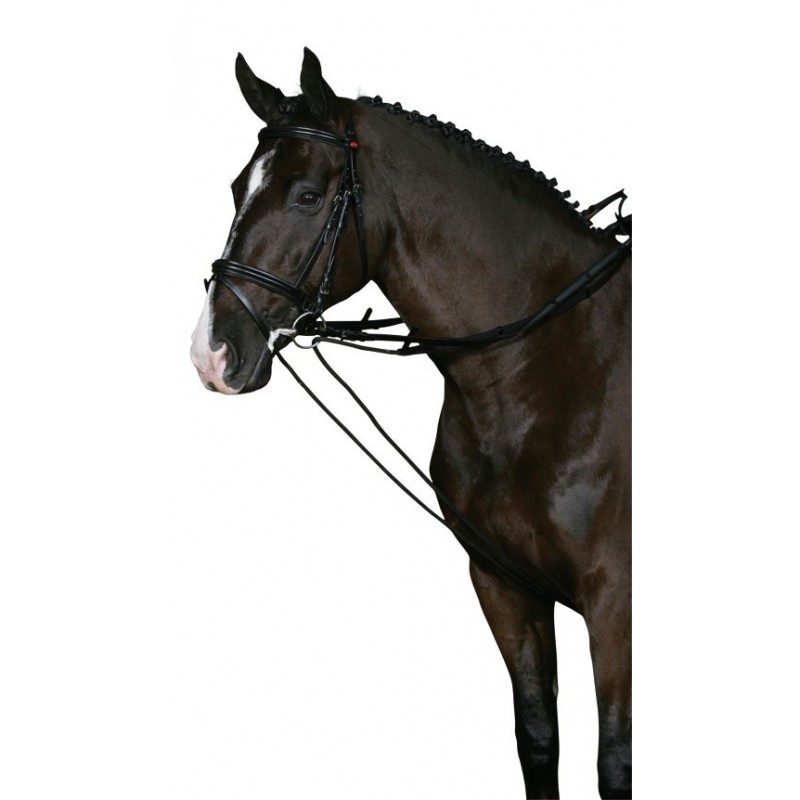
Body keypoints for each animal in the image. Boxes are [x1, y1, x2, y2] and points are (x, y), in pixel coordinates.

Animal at [190, 48, 631, 799]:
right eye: (236, 189)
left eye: (308, 196)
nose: (211, 353)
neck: (545, 370)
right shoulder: (502, 584)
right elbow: (539, 738)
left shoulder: (615, 600)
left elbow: (615, 762)